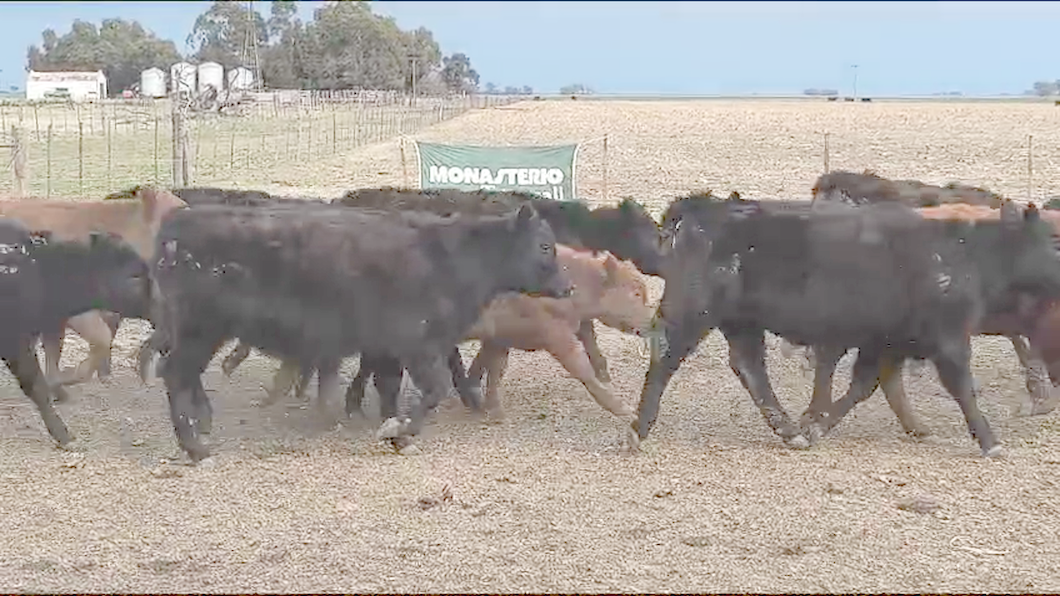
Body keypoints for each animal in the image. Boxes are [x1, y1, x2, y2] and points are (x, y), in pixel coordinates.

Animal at [466, 246, 652, 422]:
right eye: (636, 294)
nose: (652, 323)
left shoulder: (501, 336)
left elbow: (496, 368)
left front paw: (497, 415)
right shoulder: (555, 332)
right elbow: (581, 367)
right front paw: (628, 411)